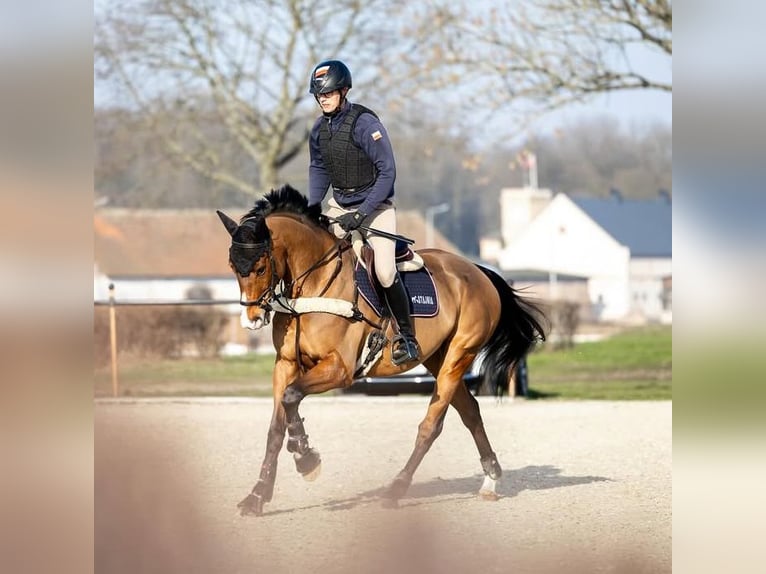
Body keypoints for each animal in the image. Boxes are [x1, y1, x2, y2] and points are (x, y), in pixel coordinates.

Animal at [217, 184, 546, 516]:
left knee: (431, 426)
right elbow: (276, 426)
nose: (251, 320)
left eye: (260, 267)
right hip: (437, 358)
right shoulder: (285, 364)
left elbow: (291, 397)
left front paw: (305, 456)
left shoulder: (340, 369)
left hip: (459, 355)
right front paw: (257, 496)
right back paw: (491, 478)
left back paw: (395, 490)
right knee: (470, 412)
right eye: (232, 267)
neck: (314, 286)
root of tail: (477, 270)